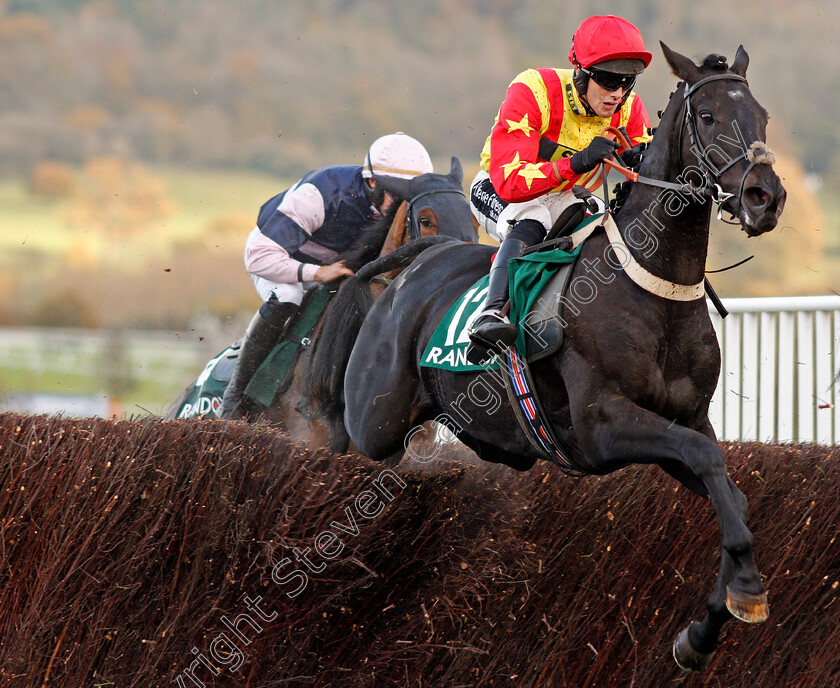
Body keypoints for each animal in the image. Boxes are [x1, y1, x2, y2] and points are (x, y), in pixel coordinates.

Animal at [324, 45, 788, 668]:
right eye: (709, 117)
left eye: (761, 117)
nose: (767, 197)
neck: (653, 287)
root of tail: (422, 260)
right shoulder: (602, 427)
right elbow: (708, 461)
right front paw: (744, 590)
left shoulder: (686, 420)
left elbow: (728, 490)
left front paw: (709, 624)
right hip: (375, 421)